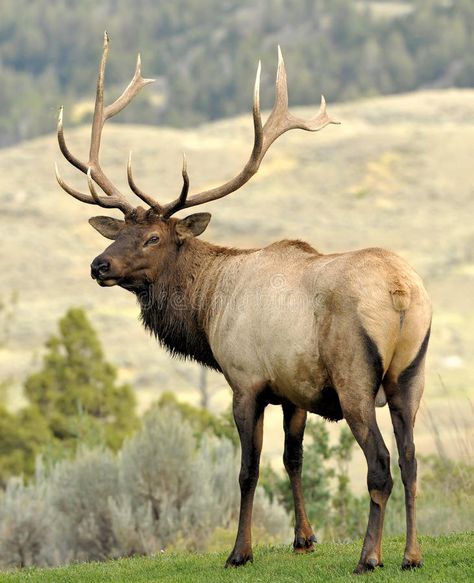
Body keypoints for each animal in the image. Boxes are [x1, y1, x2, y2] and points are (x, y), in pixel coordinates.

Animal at [56, 34, 434, 576]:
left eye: (153, 237)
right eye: (119, 232)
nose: (98, 265)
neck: (207, 309)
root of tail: (401, 291)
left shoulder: (245, 379)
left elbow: (248, 469)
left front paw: (240, 550)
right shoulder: (295, 390)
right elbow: (293, 459)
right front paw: (303, 538)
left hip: (355, 377)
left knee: (380, 463)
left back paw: (369, 557)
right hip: (411, 375)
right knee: (411, 460)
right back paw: (411, 554)